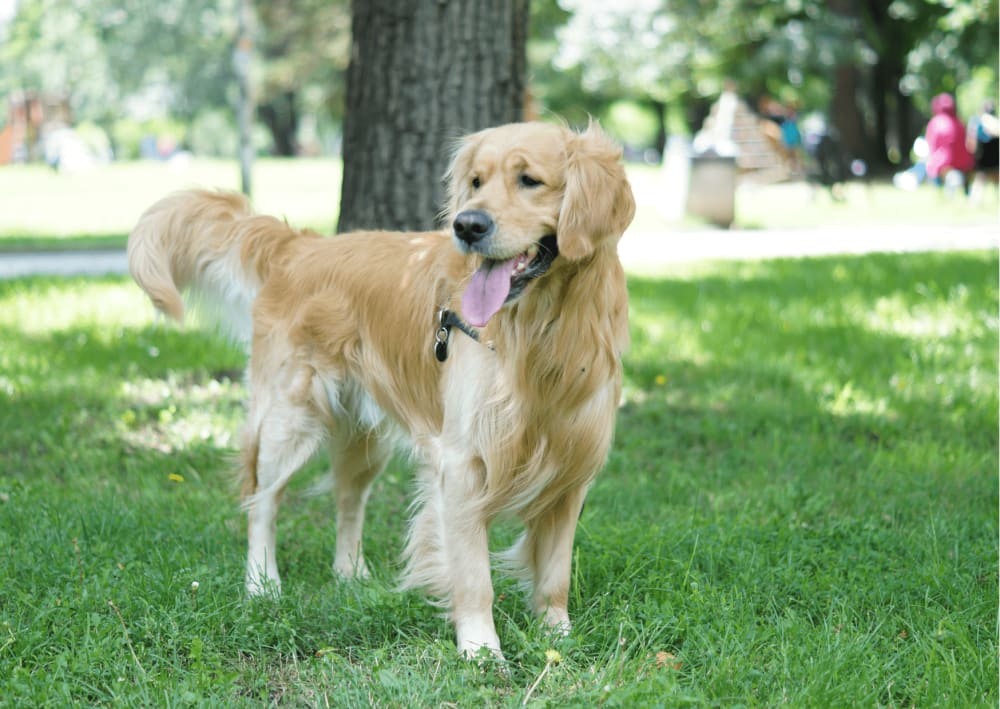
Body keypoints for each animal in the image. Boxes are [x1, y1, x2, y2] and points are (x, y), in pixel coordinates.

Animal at [127, 119, 632, 656]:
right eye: (476, 182)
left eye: (529, 180)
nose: (466, 226)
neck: (543, 331)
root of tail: (301, 245)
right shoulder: (463, 463)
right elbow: (474, 575)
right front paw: (481, 650)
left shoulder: (572, 465)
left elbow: (555, 571)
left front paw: (558, 637)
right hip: (290, 416)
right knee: (262, 501)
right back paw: (262, 584)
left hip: (362, 438)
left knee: (348, 501)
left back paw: (351, 574)